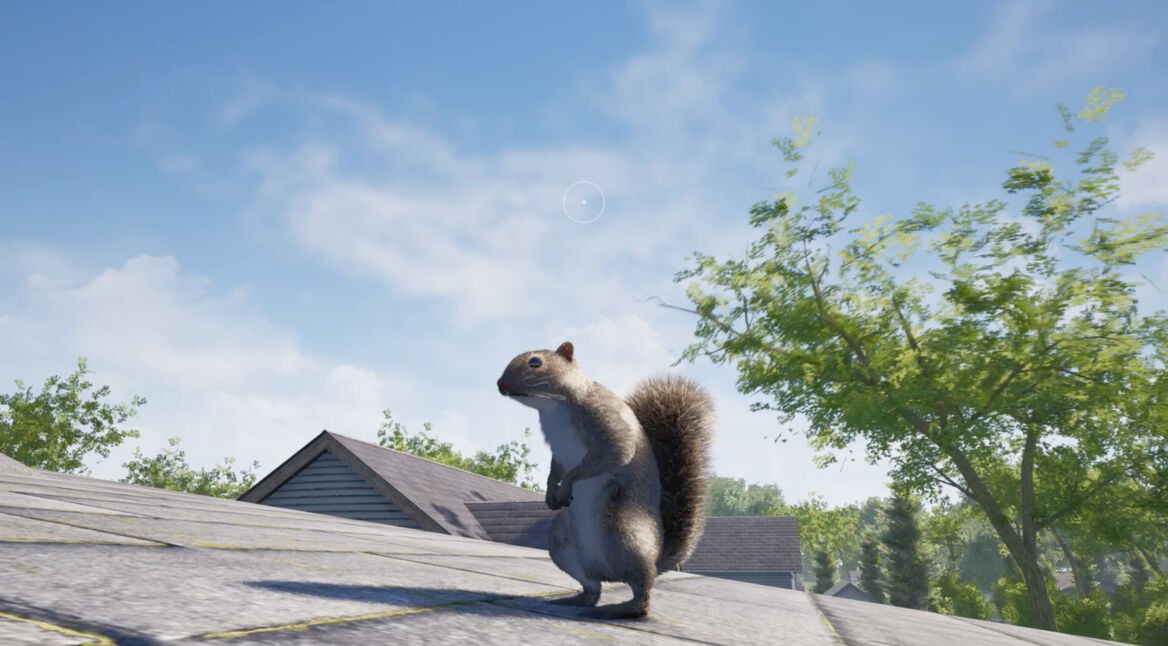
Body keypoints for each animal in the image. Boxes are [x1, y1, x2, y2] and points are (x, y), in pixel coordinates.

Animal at [496, 341, 714, 619]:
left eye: (535, 362)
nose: (500, 384)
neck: (554, 408)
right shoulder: (557, 450)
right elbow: (555, 469)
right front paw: (550, 494)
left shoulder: (603, 419)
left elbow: (614, 451)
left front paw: (567, 485)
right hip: (562, 544)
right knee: (592, 588)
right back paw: (575, 600)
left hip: (625, 534)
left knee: (642, 594)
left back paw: (619, 608)